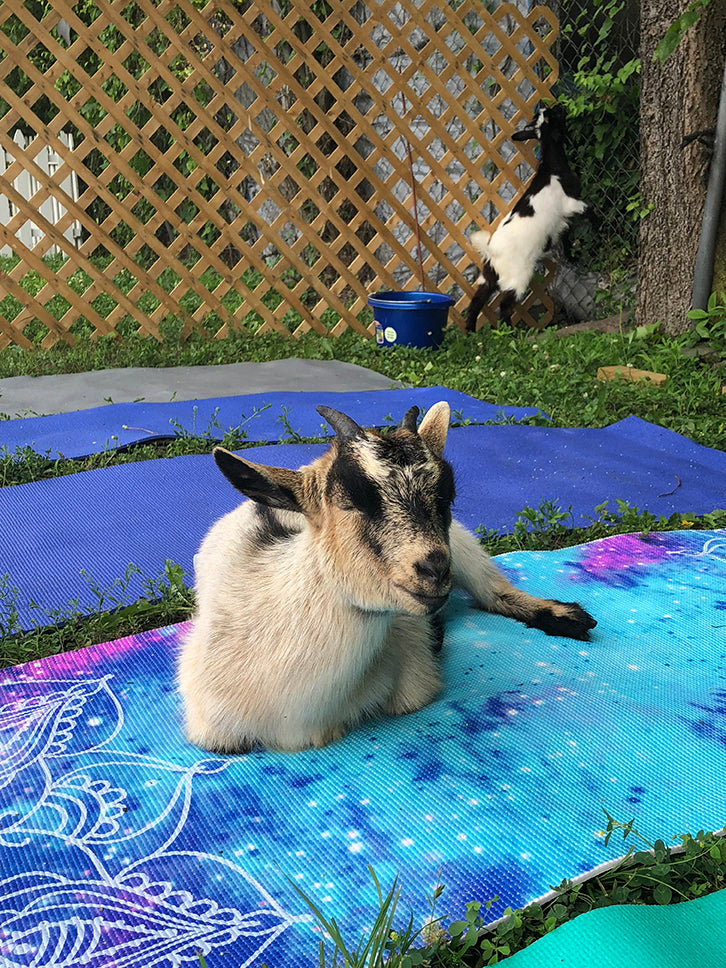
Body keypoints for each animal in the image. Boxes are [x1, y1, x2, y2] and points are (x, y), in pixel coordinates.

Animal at [177, 401, 596, 753]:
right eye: (352, 500)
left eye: (447, 496)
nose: (434, 569)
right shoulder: (212, 731)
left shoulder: (414, 681)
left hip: (464, 545)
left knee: (493, 591)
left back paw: (568, 617)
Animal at [467, 104, 587, 331]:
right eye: (553, 115)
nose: (560, 105)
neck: (551, 168)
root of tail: (492, 251)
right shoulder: (573, 204)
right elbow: (591, 213)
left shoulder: (559, 223)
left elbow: (565, 235)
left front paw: (571, 258)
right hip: (518, 278)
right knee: (505, 305)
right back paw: (511, 332)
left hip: (487, 278)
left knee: (476, 302)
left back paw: (470, 332)